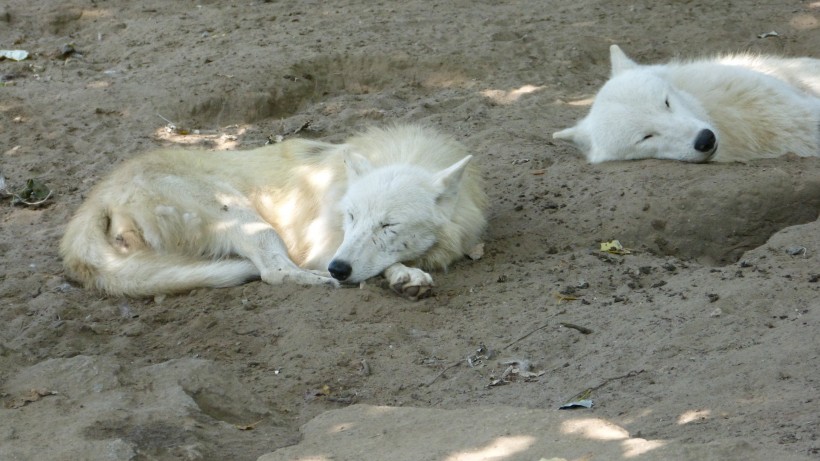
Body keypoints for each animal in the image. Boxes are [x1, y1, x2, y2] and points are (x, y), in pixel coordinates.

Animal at [62, 124, 494, 300]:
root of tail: (101, 190)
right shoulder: (326, 245)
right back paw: (319, 280)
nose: (339, 269)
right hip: (246, 218)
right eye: (352, 217)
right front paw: (404, 275)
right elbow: (377, 264)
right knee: (274, 271)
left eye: (388, 225)